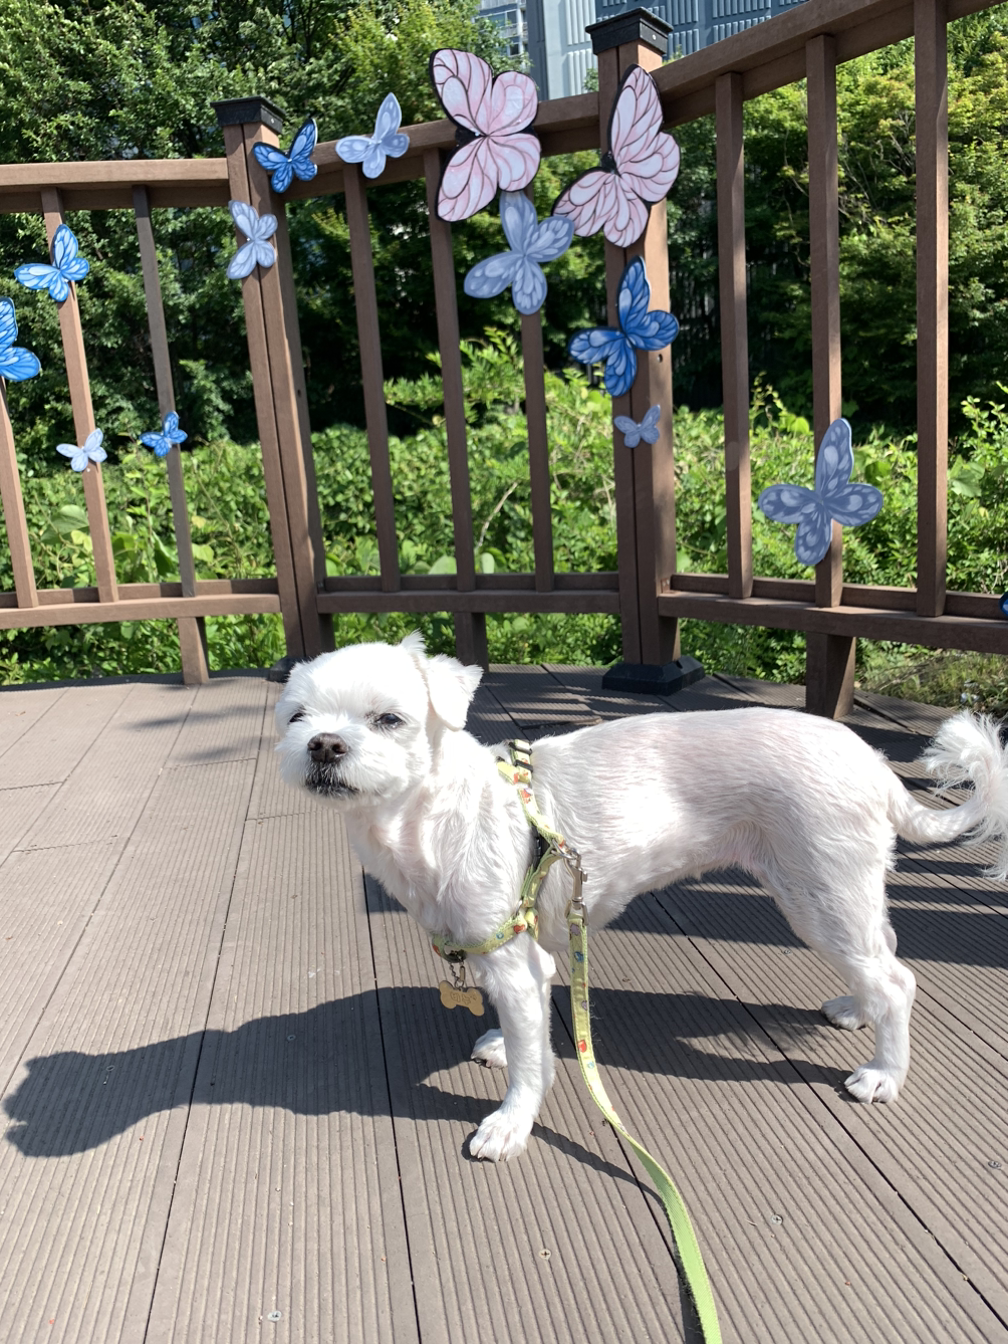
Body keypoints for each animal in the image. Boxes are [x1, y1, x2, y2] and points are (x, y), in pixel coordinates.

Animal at [274, 633, 1008, 1162]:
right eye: (297, 717)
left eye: (389, 719)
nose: (324, 745)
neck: (423, 820)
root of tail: (878, 768)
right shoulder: (521, 951)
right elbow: (526, 1031)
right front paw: (507, 1045)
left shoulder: (511, 956)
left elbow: (532, 1067)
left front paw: (511, 1124)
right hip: (840, 893)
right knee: (882, 955)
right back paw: (857, 1009)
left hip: (819, 892)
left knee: (897, 981)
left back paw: (885, 1073)